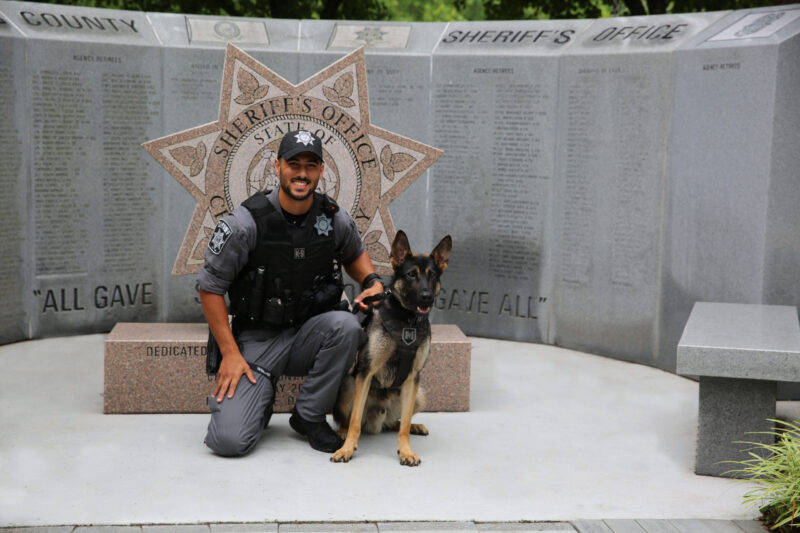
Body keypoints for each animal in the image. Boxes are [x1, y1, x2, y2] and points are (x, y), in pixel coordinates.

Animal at [330, 231, 450, 464]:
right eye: (411, 275)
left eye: (432, 276)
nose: (427, 297)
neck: (407, 320)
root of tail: (376, 421)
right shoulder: (365, 373)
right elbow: (355, 422)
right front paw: (347, 449)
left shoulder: (413, 377)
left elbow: (403, 427)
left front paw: (406, 451)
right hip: (348, 385)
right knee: (348, 420)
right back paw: (341, 432)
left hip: (419, 394)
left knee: (397, 423)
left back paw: (414, 426)